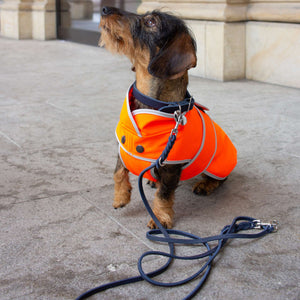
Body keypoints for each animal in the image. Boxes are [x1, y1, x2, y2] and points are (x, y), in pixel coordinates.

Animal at [98, 7, 237, 229]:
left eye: (151, 22)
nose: (104, 9)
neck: (151, 103)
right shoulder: (123, 145)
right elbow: (118, 171)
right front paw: (121, 197)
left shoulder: (171, 168)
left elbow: (164, 194)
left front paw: (160, 217)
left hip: (217, 165)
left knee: (220, 179)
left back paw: (206, 184)